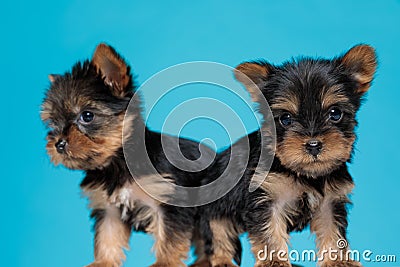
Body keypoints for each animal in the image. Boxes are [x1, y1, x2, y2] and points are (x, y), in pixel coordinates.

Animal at [41, 44, 241, 267]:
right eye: (53, 123)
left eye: (87, 115)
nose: (58, 144)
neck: (118, 162)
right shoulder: (109, 209)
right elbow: (107, 236)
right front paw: (103, 262)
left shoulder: (170, 201)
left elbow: (169, 237)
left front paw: (165, 262)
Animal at [233, 45, 376, 266]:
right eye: (285, 118)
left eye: (335, 113)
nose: (313, 145)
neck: (306, 175)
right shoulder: (266, 196)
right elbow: (269, 231)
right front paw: (273, 261)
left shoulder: (330, 202)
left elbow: (332, 230)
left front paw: (338, 260)